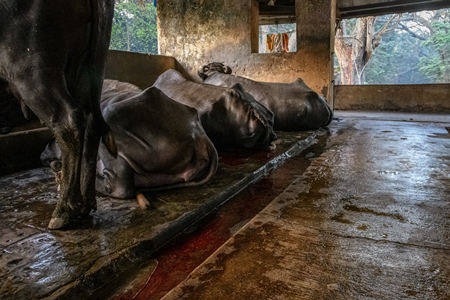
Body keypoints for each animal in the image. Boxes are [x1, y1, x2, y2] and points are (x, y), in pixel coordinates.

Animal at [0, 0, 116, 230]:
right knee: (91, 123)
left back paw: (64, 211)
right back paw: (84, 204)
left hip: (31, 69)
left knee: (68, 121)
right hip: (91, 68)